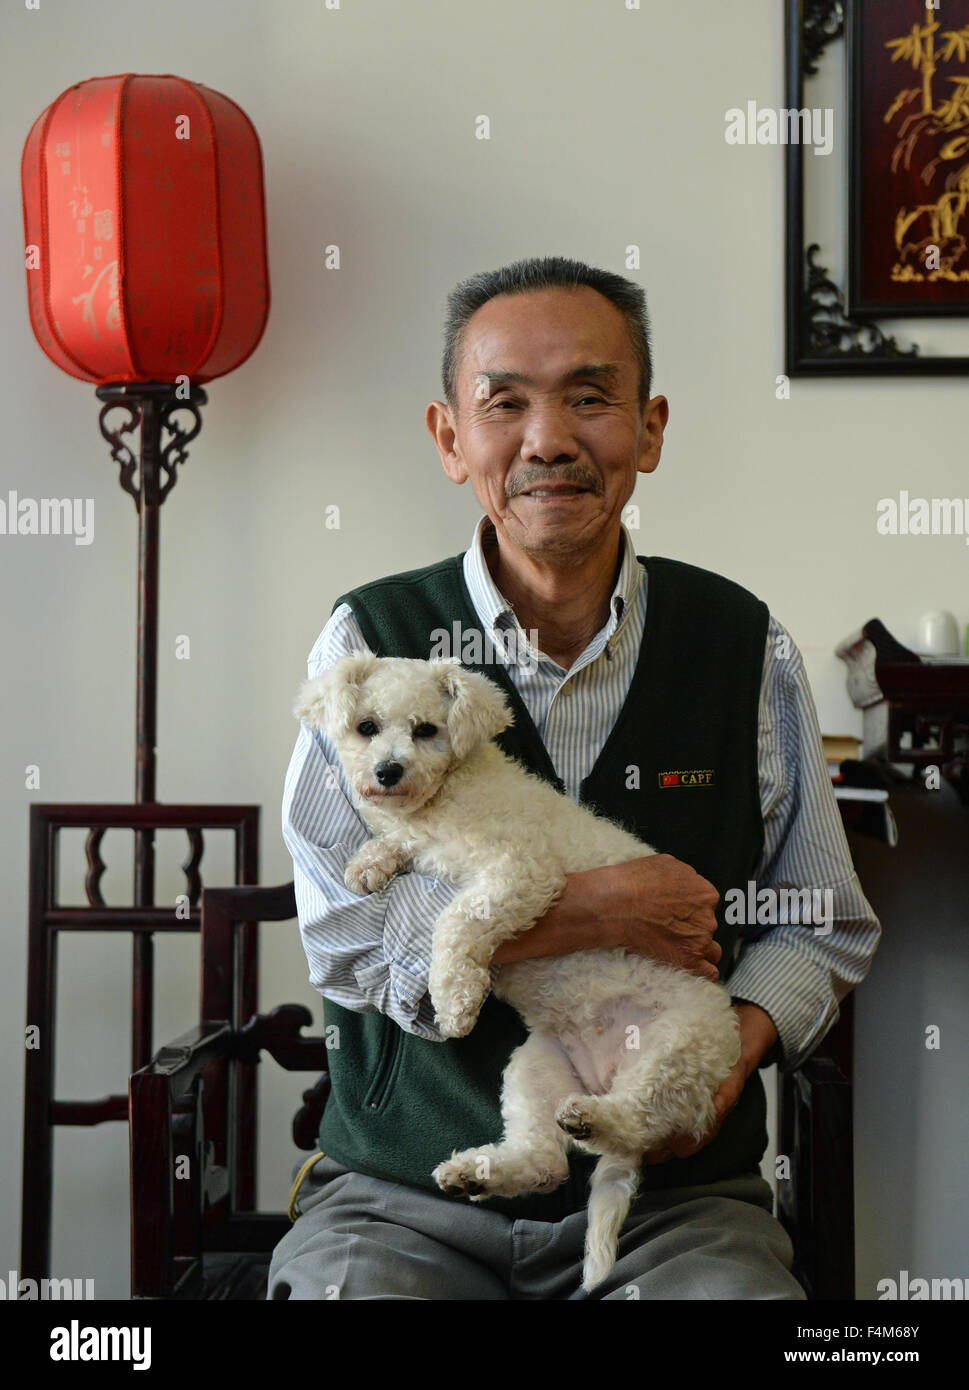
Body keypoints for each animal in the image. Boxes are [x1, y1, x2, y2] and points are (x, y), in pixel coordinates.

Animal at [290, 650, 739, 1289]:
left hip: (676, 1047)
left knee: (636, 1119)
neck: (444, 799)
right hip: (535, 1068)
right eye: (366, 727)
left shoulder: (518, 871)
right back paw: (478, 1171)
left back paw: (593, 1118)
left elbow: (453, 923)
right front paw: (370, 861)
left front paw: (454, 999)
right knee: (545, 1162)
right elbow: (398, 849)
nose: (388, 772)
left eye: (427, 730)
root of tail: (604, 1077)